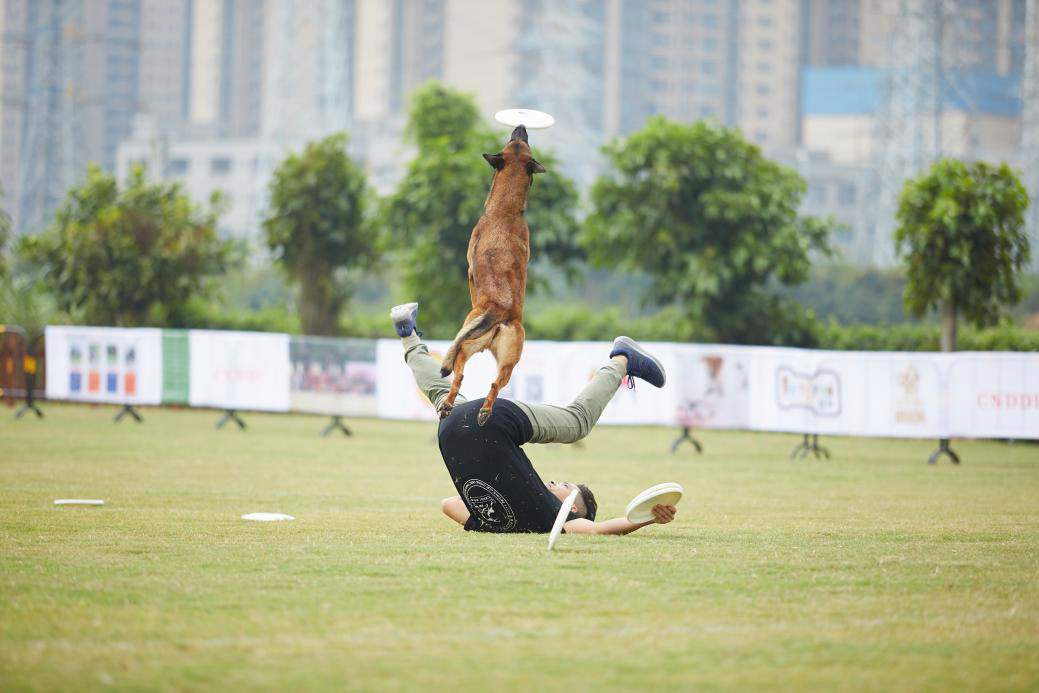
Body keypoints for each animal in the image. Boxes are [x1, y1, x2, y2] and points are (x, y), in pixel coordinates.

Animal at [438, 126, 548, 425]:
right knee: (494, 383)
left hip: (468, 336)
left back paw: (454, 405)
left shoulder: (469, 267)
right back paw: (483, 411)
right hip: (505, 358)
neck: (506, 209)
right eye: (518, 140)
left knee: (460, 375)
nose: (521, 126)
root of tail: (501, 311)